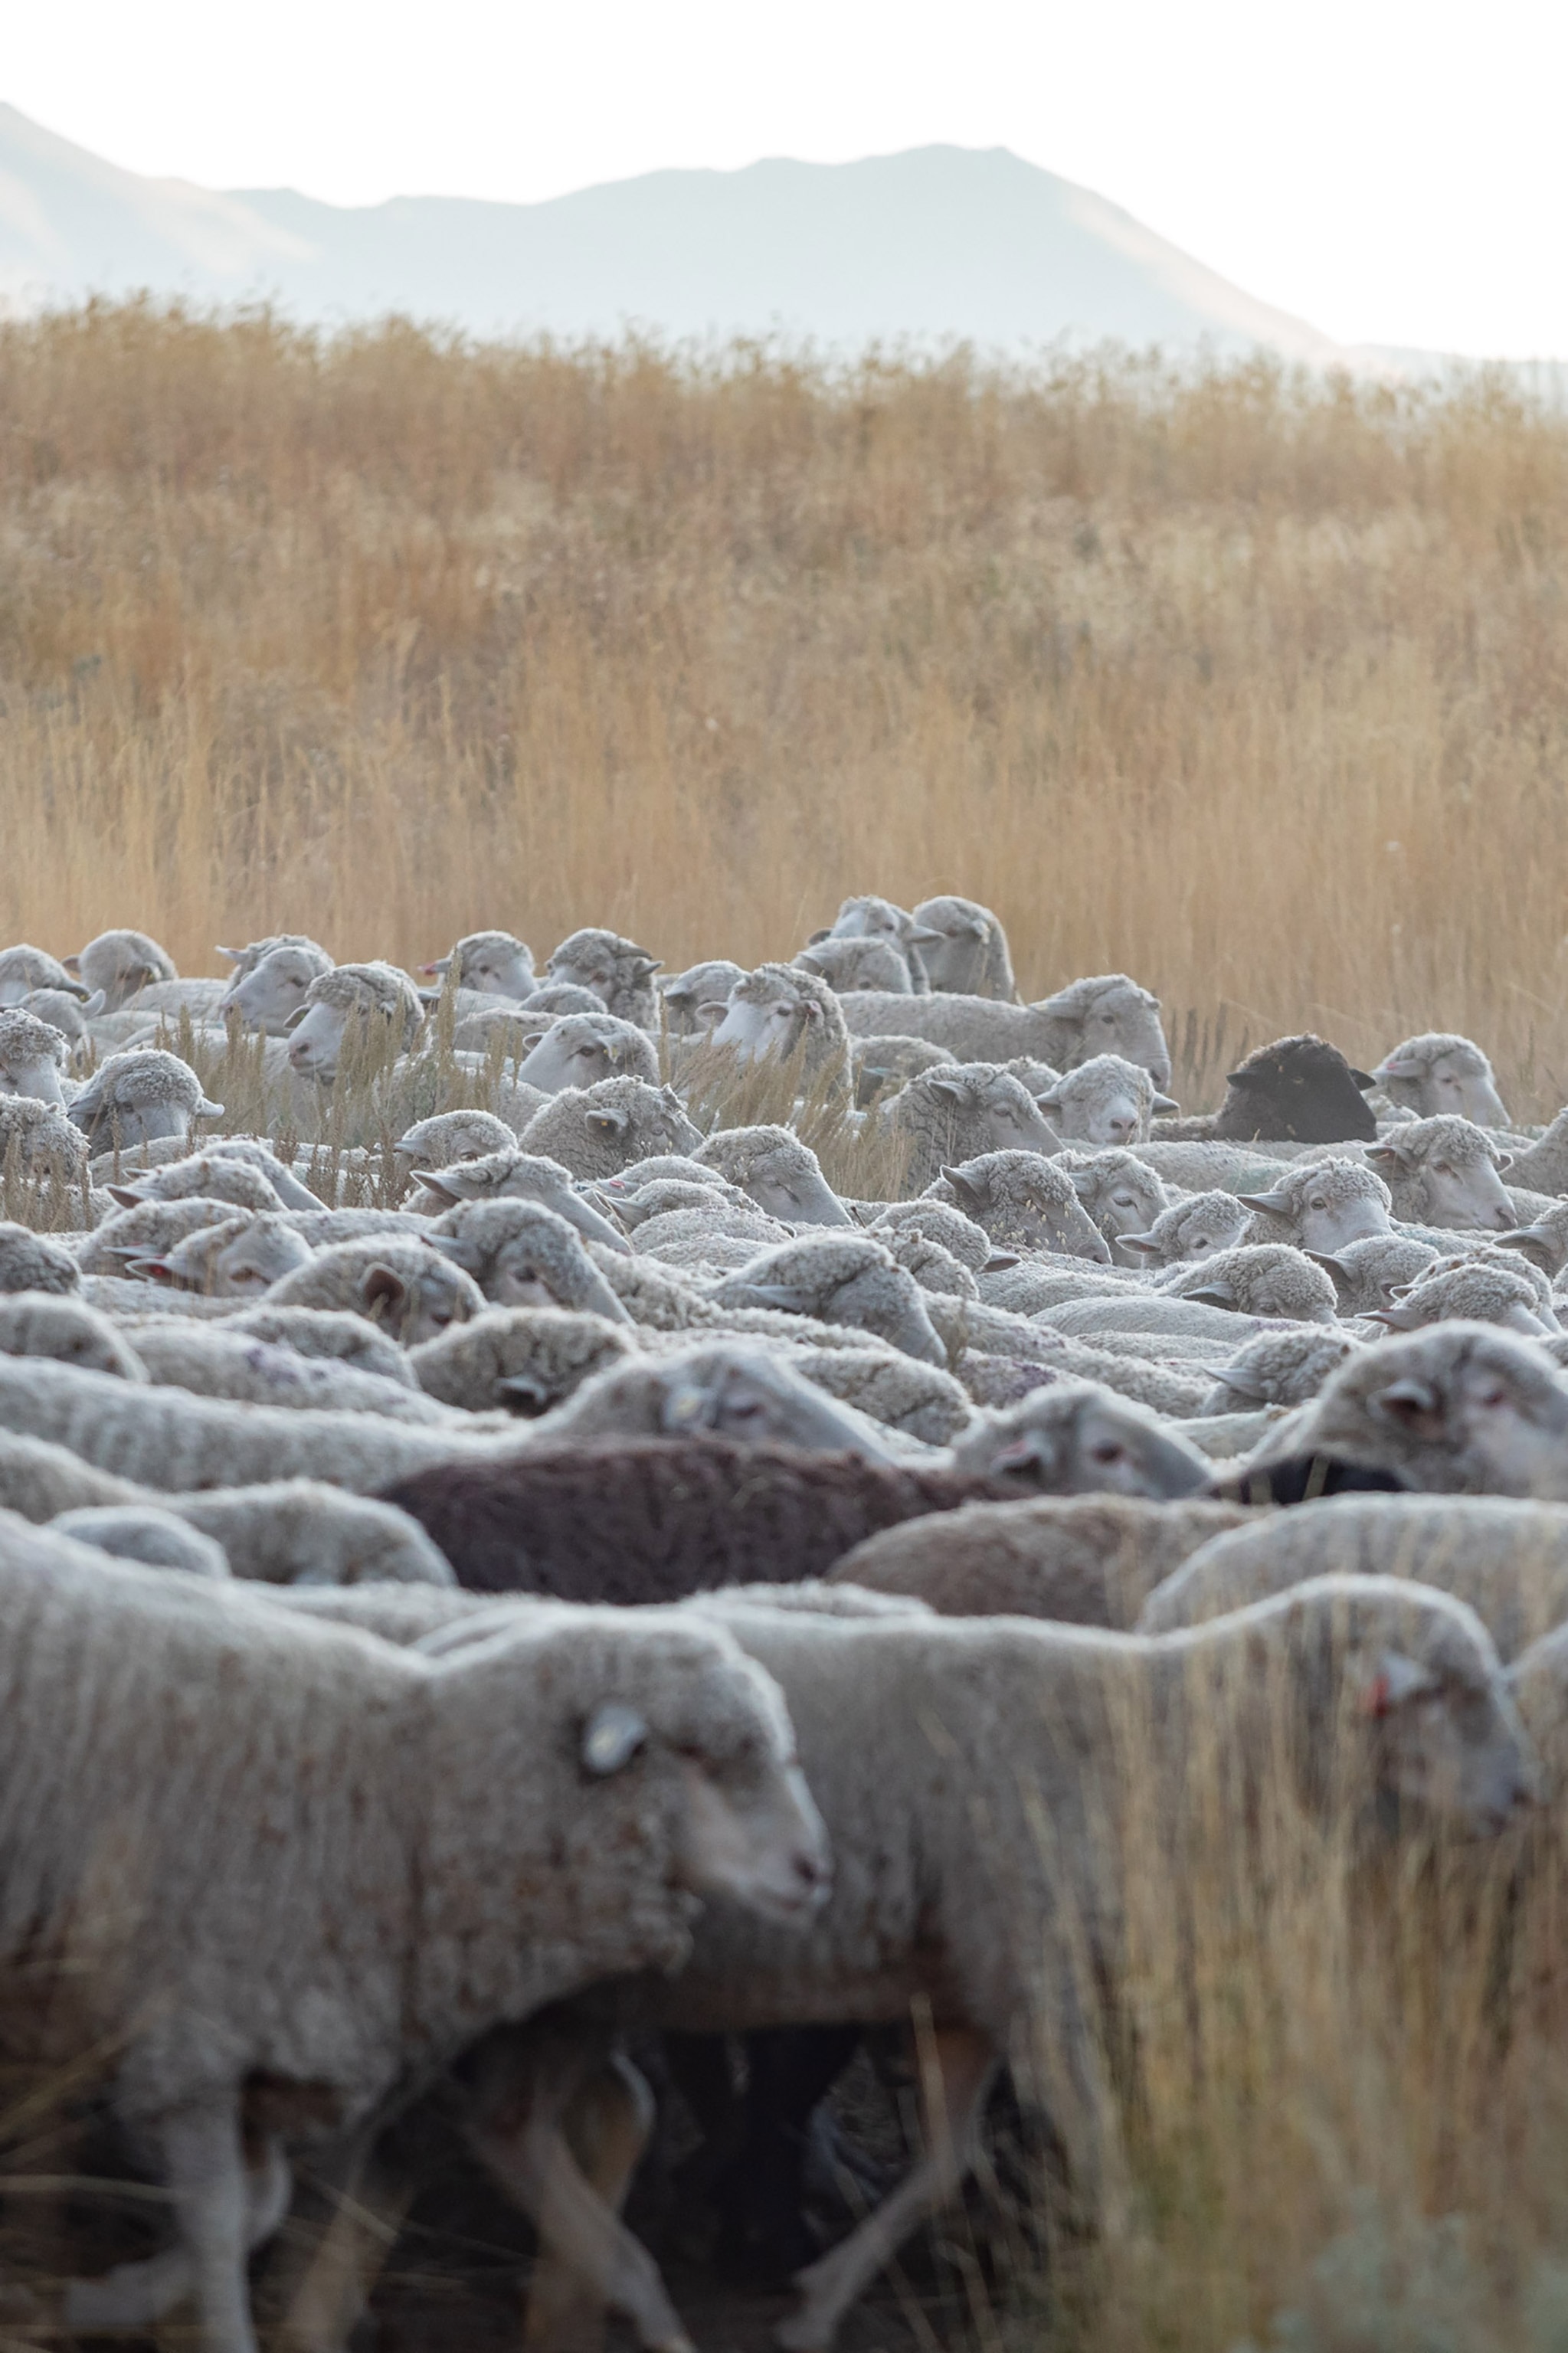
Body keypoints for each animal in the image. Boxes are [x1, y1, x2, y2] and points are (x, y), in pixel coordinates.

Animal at [0, 1531, 823, 2353]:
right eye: (704, 1758)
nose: (815, 1869)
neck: (400, 1795)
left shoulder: (249, 2049)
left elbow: (263, 2201)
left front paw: (96, 2298)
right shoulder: (190, 2045)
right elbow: (221, 2222)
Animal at [485, 1577, 1532, 2353]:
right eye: (1450, 1691)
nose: (1526, 1797)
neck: (1167, 1734)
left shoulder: (977, 1987)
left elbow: (946, 2163)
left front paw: (818, 2303)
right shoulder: (1037, 1977)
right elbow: (1100, 2150)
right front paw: (1146, 2267)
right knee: (522, 2132)